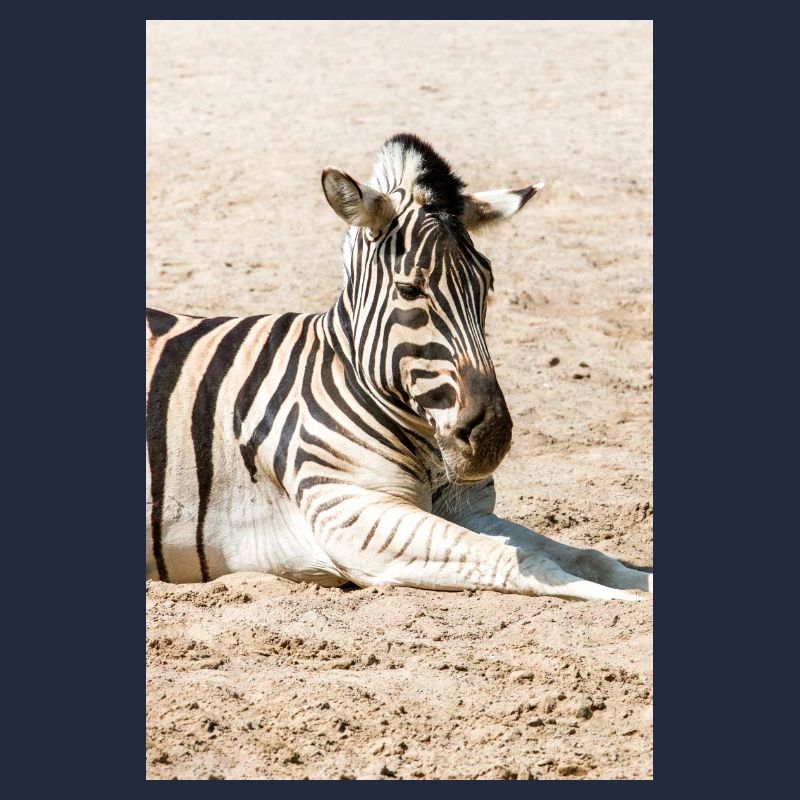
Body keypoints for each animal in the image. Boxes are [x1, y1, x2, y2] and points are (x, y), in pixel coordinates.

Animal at [146, 133, 652, 601]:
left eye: (487, 285)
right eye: (410, 290)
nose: (492, 437)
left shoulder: (470, 510)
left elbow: (587, 555)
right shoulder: (352, 515)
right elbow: (522, 560)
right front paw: (623, 601)